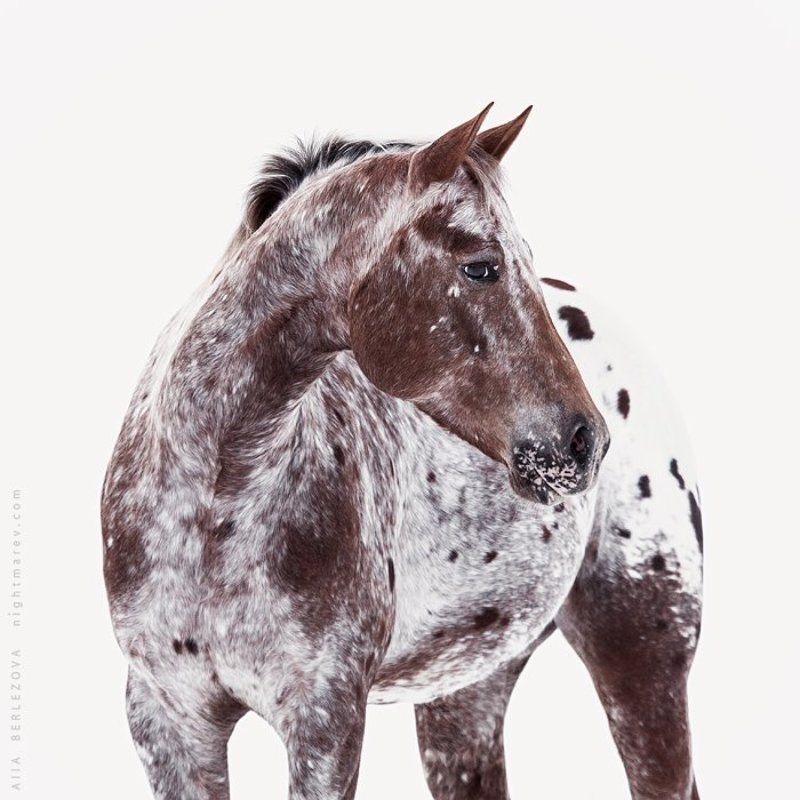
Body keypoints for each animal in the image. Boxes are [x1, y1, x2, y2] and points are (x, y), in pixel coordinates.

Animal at [102, 105, 703, 800]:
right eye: (481, 266)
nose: (584, 441)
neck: (214, 504)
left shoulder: (324, 719)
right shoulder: (170, 720)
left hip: (641, 660)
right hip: (464, 698)